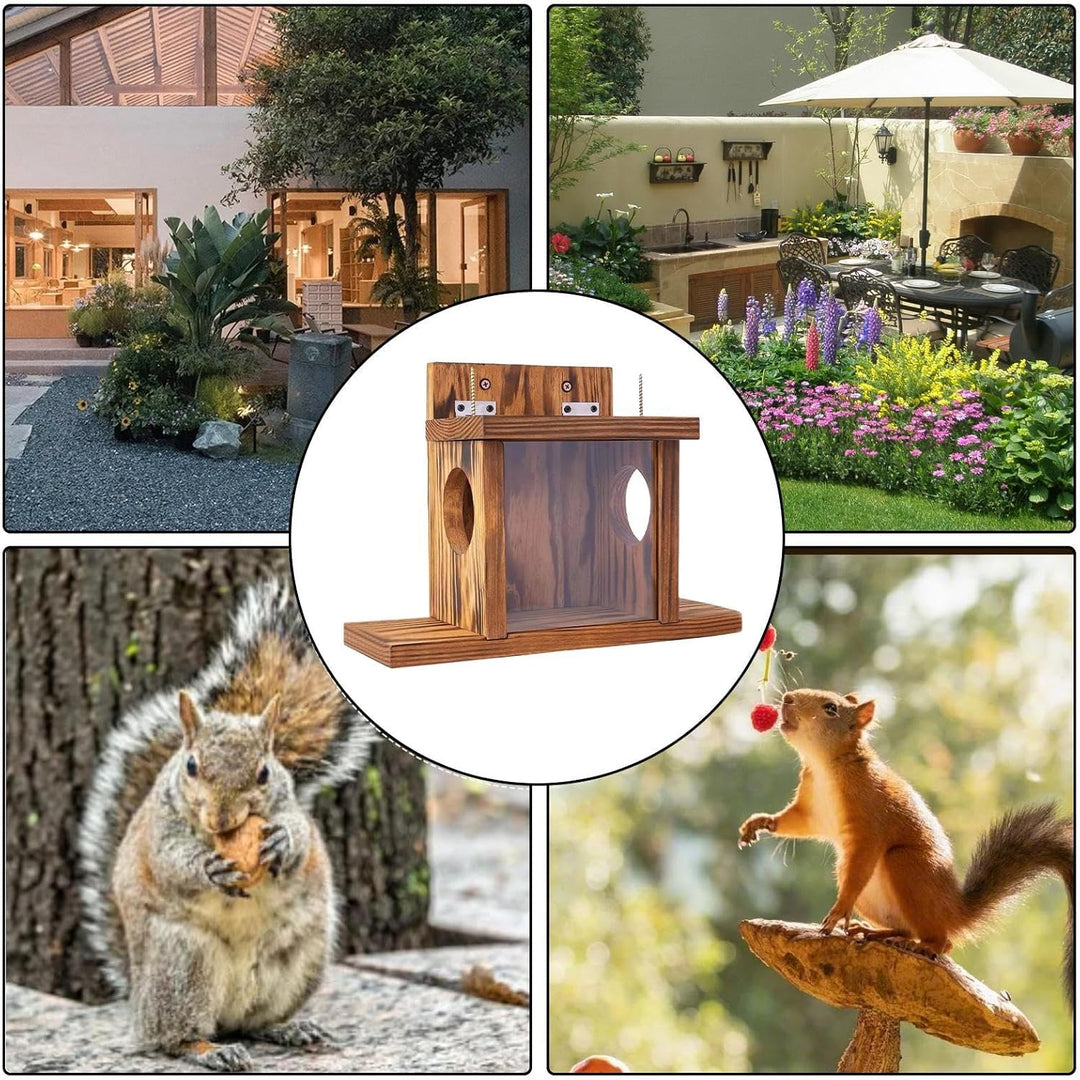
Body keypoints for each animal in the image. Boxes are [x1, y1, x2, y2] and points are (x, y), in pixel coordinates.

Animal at [79, 579, 377, 1072]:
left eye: (264, 773)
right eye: (192, 766)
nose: (222, 818)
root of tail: (139, 1003)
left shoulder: (290, 805)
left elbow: (301, 835)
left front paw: (281, 843)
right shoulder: (161, 829)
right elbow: (171, 860)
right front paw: (208, 868)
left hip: (300, 960)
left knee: (254, 1023)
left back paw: (288, 1028)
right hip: (182, 965)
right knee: (172, 1037)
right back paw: (208, 1050)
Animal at [738, 688, 1074, 1007]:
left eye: (830, 708)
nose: (787, 698)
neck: (824, 766)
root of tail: (953, 909)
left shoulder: (869, 820)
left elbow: (861, 863)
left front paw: (839, 910)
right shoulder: (812, 811)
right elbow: (794, 822)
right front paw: (760, 822)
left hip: (905, 866)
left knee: (943, 941)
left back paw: (922, 945)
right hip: (860, 886)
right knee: (907, 928)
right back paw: (877, 933)